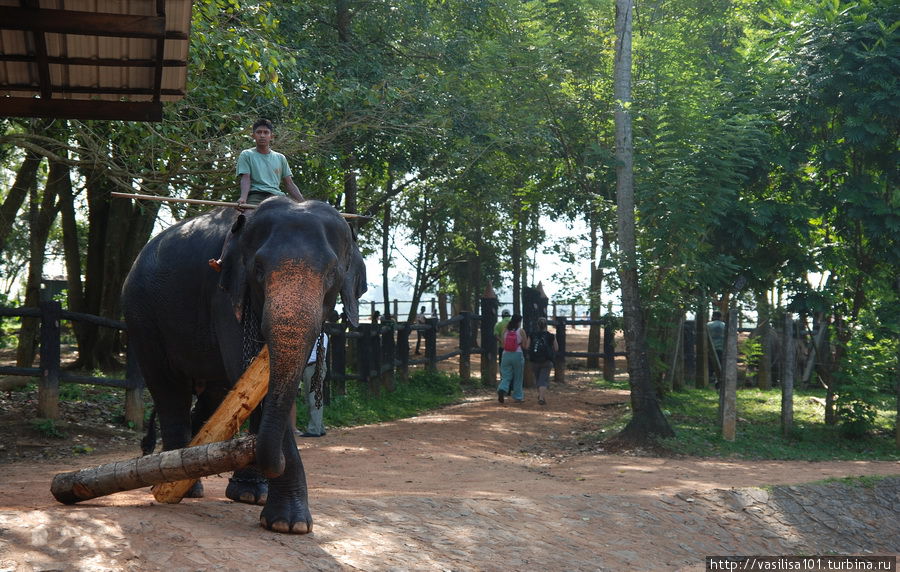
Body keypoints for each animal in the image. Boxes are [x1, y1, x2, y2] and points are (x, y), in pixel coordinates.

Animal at [123, 199, 366, 536]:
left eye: (333, 273)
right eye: (258, 269)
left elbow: (257, 386)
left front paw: (256, 499)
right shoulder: (225, 294)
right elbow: (246, 371)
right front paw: (289, 524)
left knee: (212, 395)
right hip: (142, 316)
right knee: (169, 390)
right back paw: (180, 487)